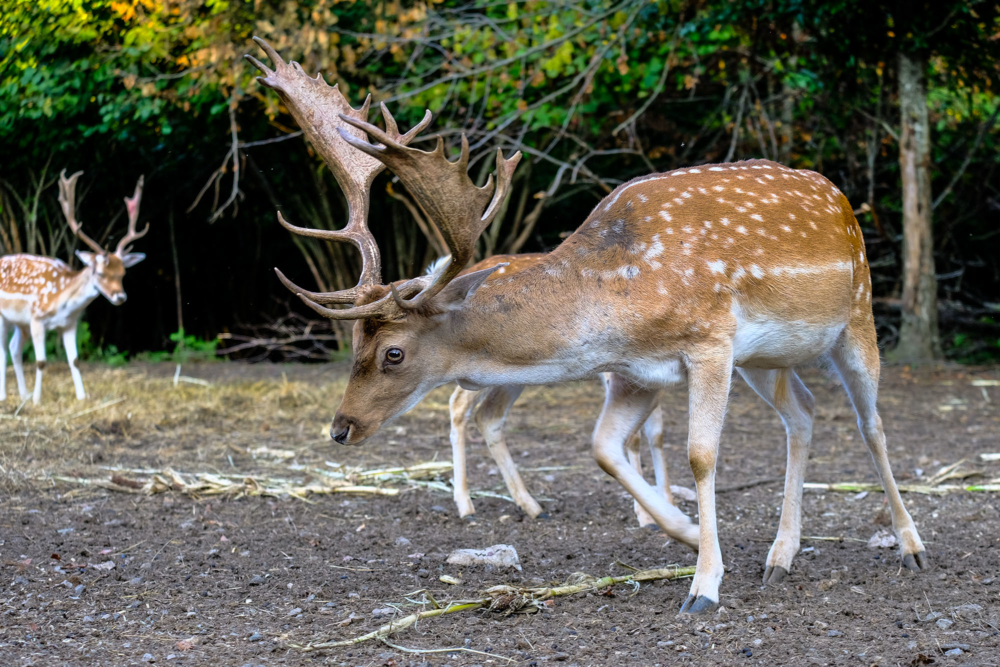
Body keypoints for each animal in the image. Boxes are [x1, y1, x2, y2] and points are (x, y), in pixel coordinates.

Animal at [0, 170, 148, 405]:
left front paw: (81, 396)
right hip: (6, 317)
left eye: (123, 273)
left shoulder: (70, 324)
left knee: (14, 349)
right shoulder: (36, 318)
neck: (62, 302)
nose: (120, 297)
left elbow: (76, 360)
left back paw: (23, 394)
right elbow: (41, 361)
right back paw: (5, 396)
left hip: (20, 322)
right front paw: (37, 400)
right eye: (99, 273)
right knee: (4, 351)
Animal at [247, 38, 928, 615]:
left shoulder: (710, 342)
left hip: (858, 314)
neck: (615, 300)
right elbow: (602, 447)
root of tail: (842, 199)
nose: (340, 427)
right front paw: (684, 534)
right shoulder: (635, 373)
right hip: (767, 359)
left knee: (870, 424)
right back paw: (780, 556)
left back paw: (911, 545)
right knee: (804, 414)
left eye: (392, 352)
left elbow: (701, 455)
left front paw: (704, 585)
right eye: (354, 345)